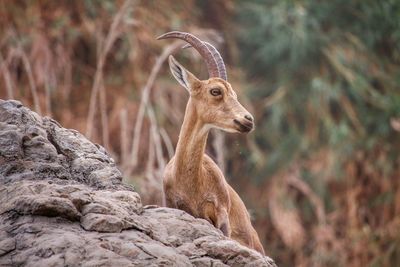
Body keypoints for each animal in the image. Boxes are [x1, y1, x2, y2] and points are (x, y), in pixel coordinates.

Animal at [157, 31, 266, 255]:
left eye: (234, 93)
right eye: (215, 91)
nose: (248, 120)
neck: (190, 179)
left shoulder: (221, 212)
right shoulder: (172, 203)